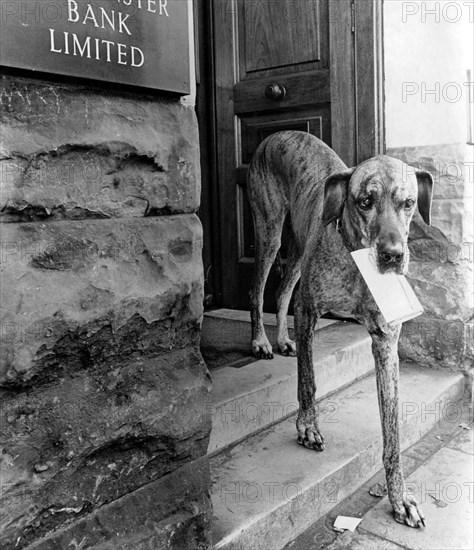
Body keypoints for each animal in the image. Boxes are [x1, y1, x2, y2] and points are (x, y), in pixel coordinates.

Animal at [248, 130, 434, 532]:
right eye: (365, 201)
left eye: (409, 203)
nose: (392, 255)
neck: (356, 260)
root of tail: (277, 134)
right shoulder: (308, 312)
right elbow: (307, 380)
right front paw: (307, 427)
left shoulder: (386, 341)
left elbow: (393, 433)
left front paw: (400, 498)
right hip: (269, 228)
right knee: (259, 288)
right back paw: (260, 340)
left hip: (298, 249)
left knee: (282, 289)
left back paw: (282, 339)